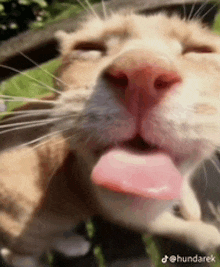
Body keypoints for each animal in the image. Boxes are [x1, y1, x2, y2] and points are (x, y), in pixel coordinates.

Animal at [0, 3, 220, 266]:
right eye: (87, 48)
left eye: (199, 50)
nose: (141, 73)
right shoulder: (133, 217)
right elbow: (179, 228)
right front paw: (208, 236)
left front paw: (191, 205)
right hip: (32, 224)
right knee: (18, 252)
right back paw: (69, 246)